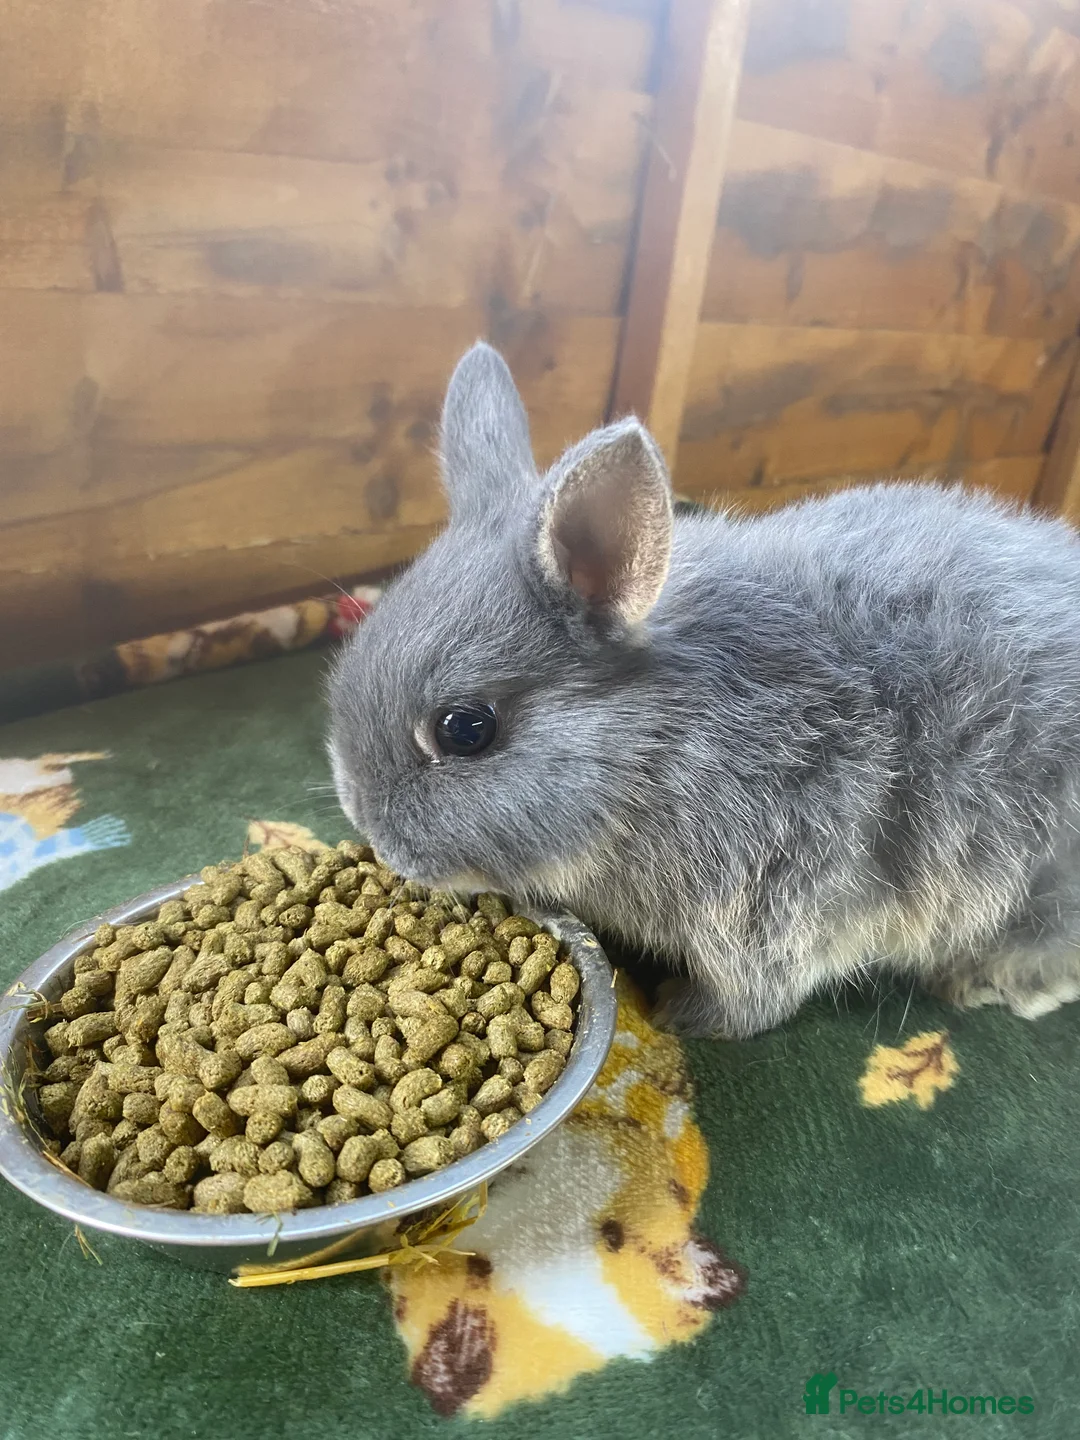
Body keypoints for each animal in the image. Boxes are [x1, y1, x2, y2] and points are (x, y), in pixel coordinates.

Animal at [327, 341, 1080, 1038]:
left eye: (465, 728)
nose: (378, 839)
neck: (662, 744)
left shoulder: (778, 897)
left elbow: (754, 997)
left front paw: (675, 1014)